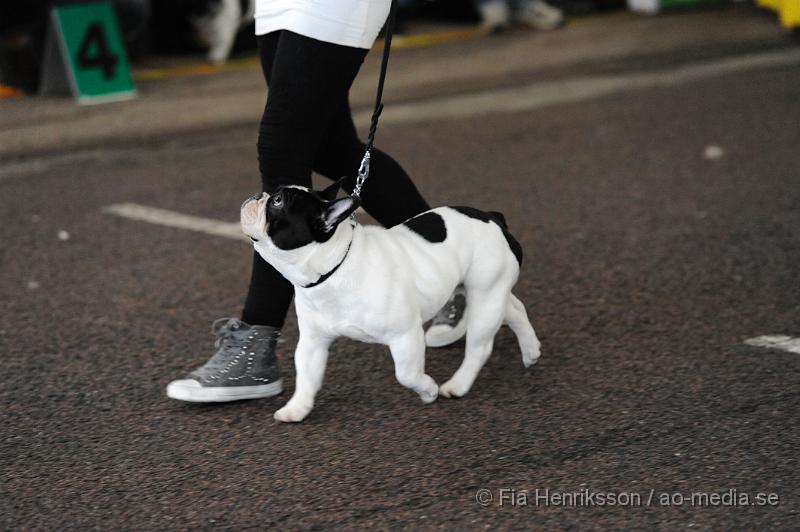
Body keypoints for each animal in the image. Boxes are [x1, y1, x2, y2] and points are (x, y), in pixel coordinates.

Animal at [241, 183, 540, 424]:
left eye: (278, 202)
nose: (258, 194)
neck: (335, 265)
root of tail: (494, 218)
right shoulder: (313, 341)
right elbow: (306, 376)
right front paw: (297, 409)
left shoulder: (405, 335)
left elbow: (406, 374)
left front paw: (428, 390)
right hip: (489, 291)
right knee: (514, 308)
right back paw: (531, 351)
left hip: (485, 296)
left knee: (480, 347)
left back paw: (457, 384)